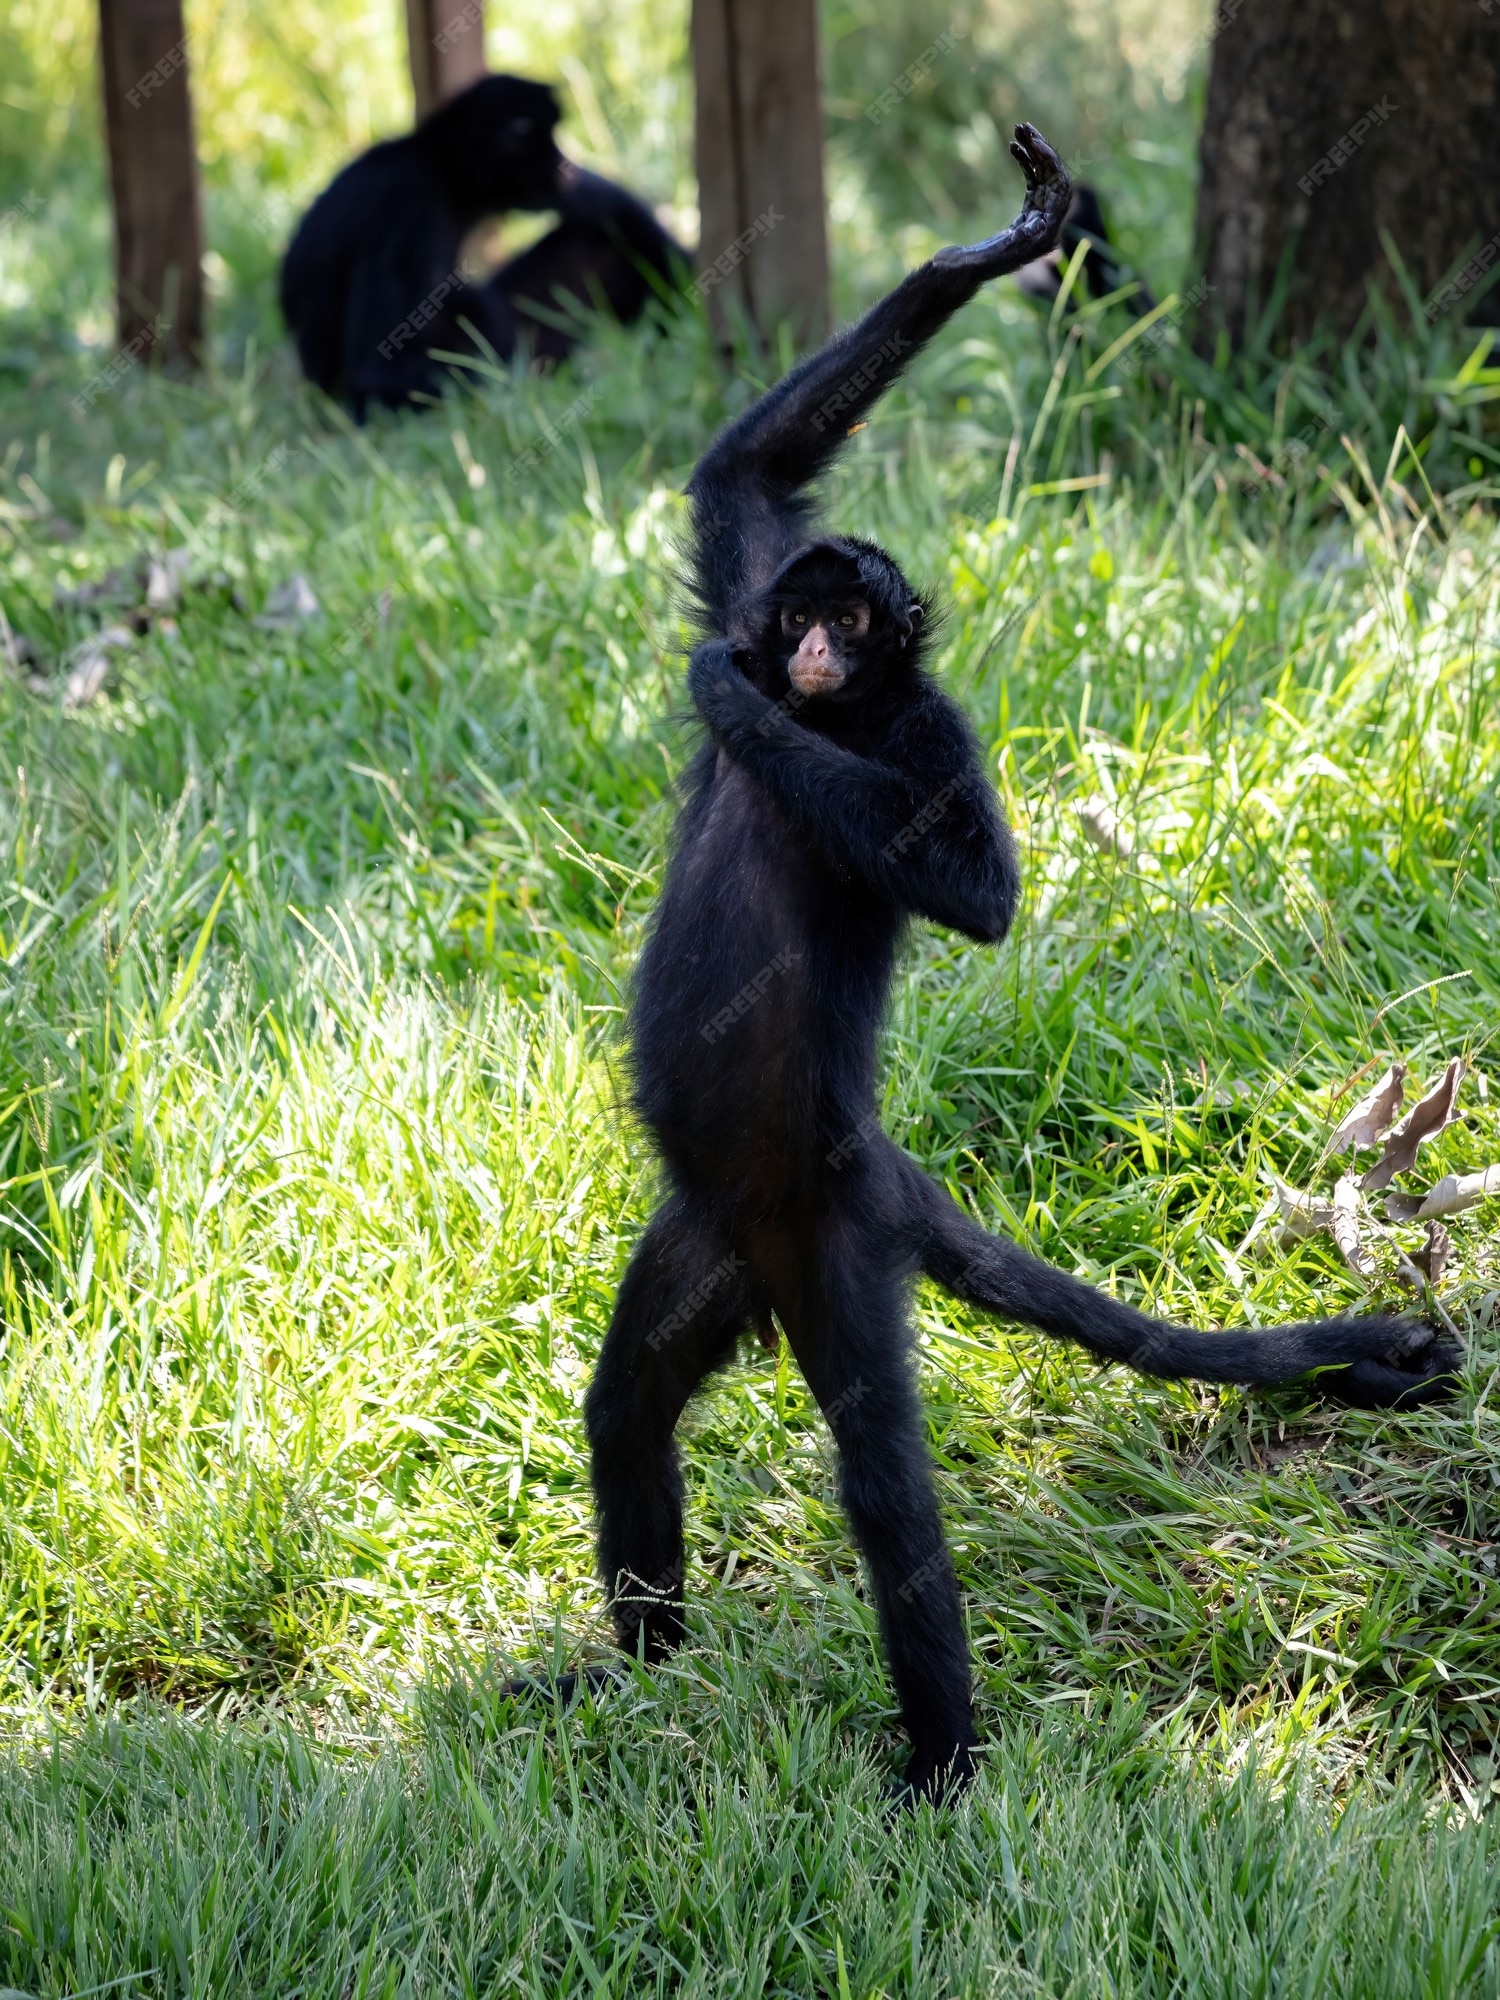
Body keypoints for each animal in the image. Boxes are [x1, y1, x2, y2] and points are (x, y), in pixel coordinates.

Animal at [280, 72, 684, 414]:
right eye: (544, 143)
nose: (563, 163)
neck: (438, 168)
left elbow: (608, 203)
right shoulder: (406, 203)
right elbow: (376, 370)